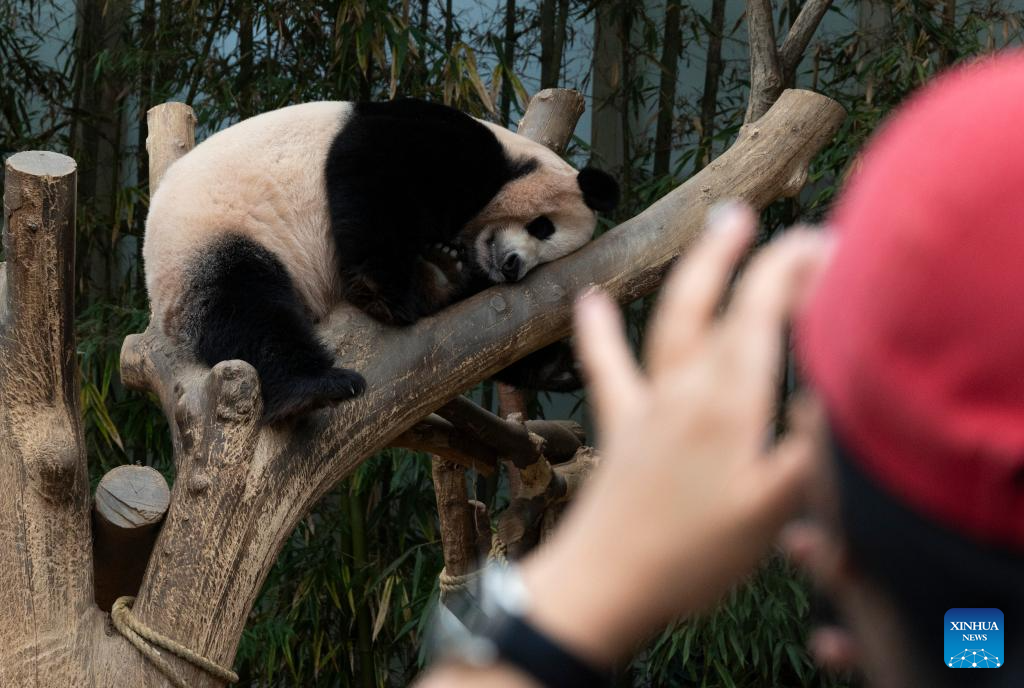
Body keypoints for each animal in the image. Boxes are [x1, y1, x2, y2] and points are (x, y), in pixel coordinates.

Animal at [143, 99, 619, 423]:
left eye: (547, 254)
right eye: (544, 227)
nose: (512, 266)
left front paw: (562, 367)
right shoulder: (437, 142)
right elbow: (375, 175)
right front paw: (385, 294)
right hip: (215, 234)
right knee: (245, 307)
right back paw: (313, 388)